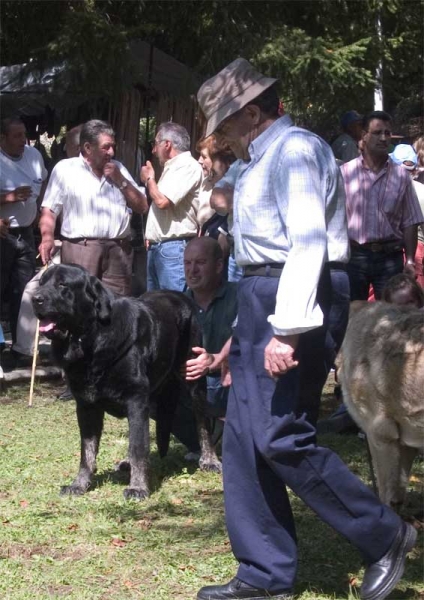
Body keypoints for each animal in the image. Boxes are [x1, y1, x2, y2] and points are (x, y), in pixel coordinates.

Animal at [31, 264, 220, 500]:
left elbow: (138, 446)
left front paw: (138, 487)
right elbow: (87, 451)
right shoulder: (86, 406)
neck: (90, 340)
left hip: (193, 376)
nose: (35, 298)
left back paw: (209, 459)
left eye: (62, 284)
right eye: (41, 283)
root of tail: (180, 296)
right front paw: (79, 484)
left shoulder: (136, 400)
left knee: (202, 420)